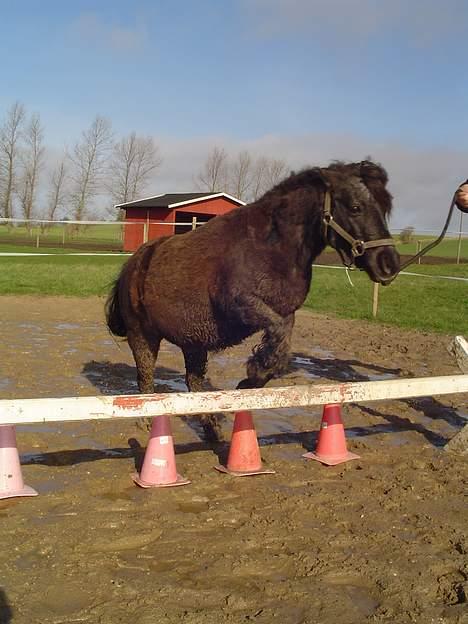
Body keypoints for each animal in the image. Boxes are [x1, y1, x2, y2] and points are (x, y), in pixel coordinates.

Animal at [106, 163, 398, 442]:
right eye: (356, 207)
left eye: (385, 208)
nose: (389, 264)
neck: (270, 246)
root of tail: (132, 264)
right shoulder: (242, 305)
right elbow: (277, 344)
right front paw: (251, 376)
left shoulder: (284, 312)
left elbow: (281, 347)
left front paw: (250, 382)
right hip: (143, 335)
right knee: (145, 377)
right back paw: (147, 421)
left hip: (193, 342)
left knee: (194, 383)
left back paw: (212, 429)